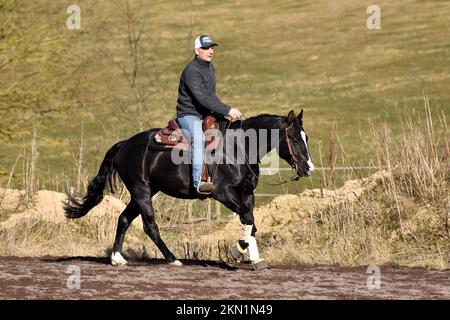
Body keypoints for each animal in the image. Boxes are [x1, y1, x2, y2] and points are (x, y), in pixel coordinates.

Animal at [63, 109, 314, 270]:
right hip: (141, 191)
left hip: (144, 192)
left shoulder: (247, 194)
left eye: (306, 137)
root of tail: (125, 144)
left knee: (124, 218)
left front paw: (252, 258)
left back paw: (117, 258)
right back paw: (172, 259)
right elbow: (247, 218)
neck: (238, 148)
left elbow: (251, 223)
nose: (308, 168)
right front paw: (237, 253)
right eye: (293, 138)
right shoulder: (222, 193)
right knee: (150, 225)